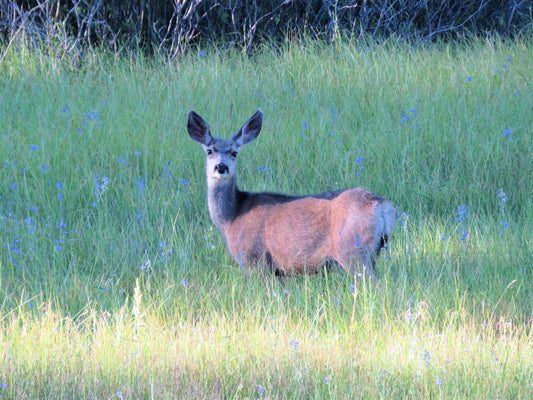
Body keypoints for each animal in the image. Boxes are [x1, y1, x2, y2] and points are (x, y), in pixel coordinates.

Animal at [187, 108, 394, 280]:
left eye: (234, 152)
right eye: (209, 151)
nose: (221, 167)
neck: (231, 217)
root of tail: (380, 204)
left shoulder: (252, 258)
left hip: (352, 247)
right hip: (375, 250)